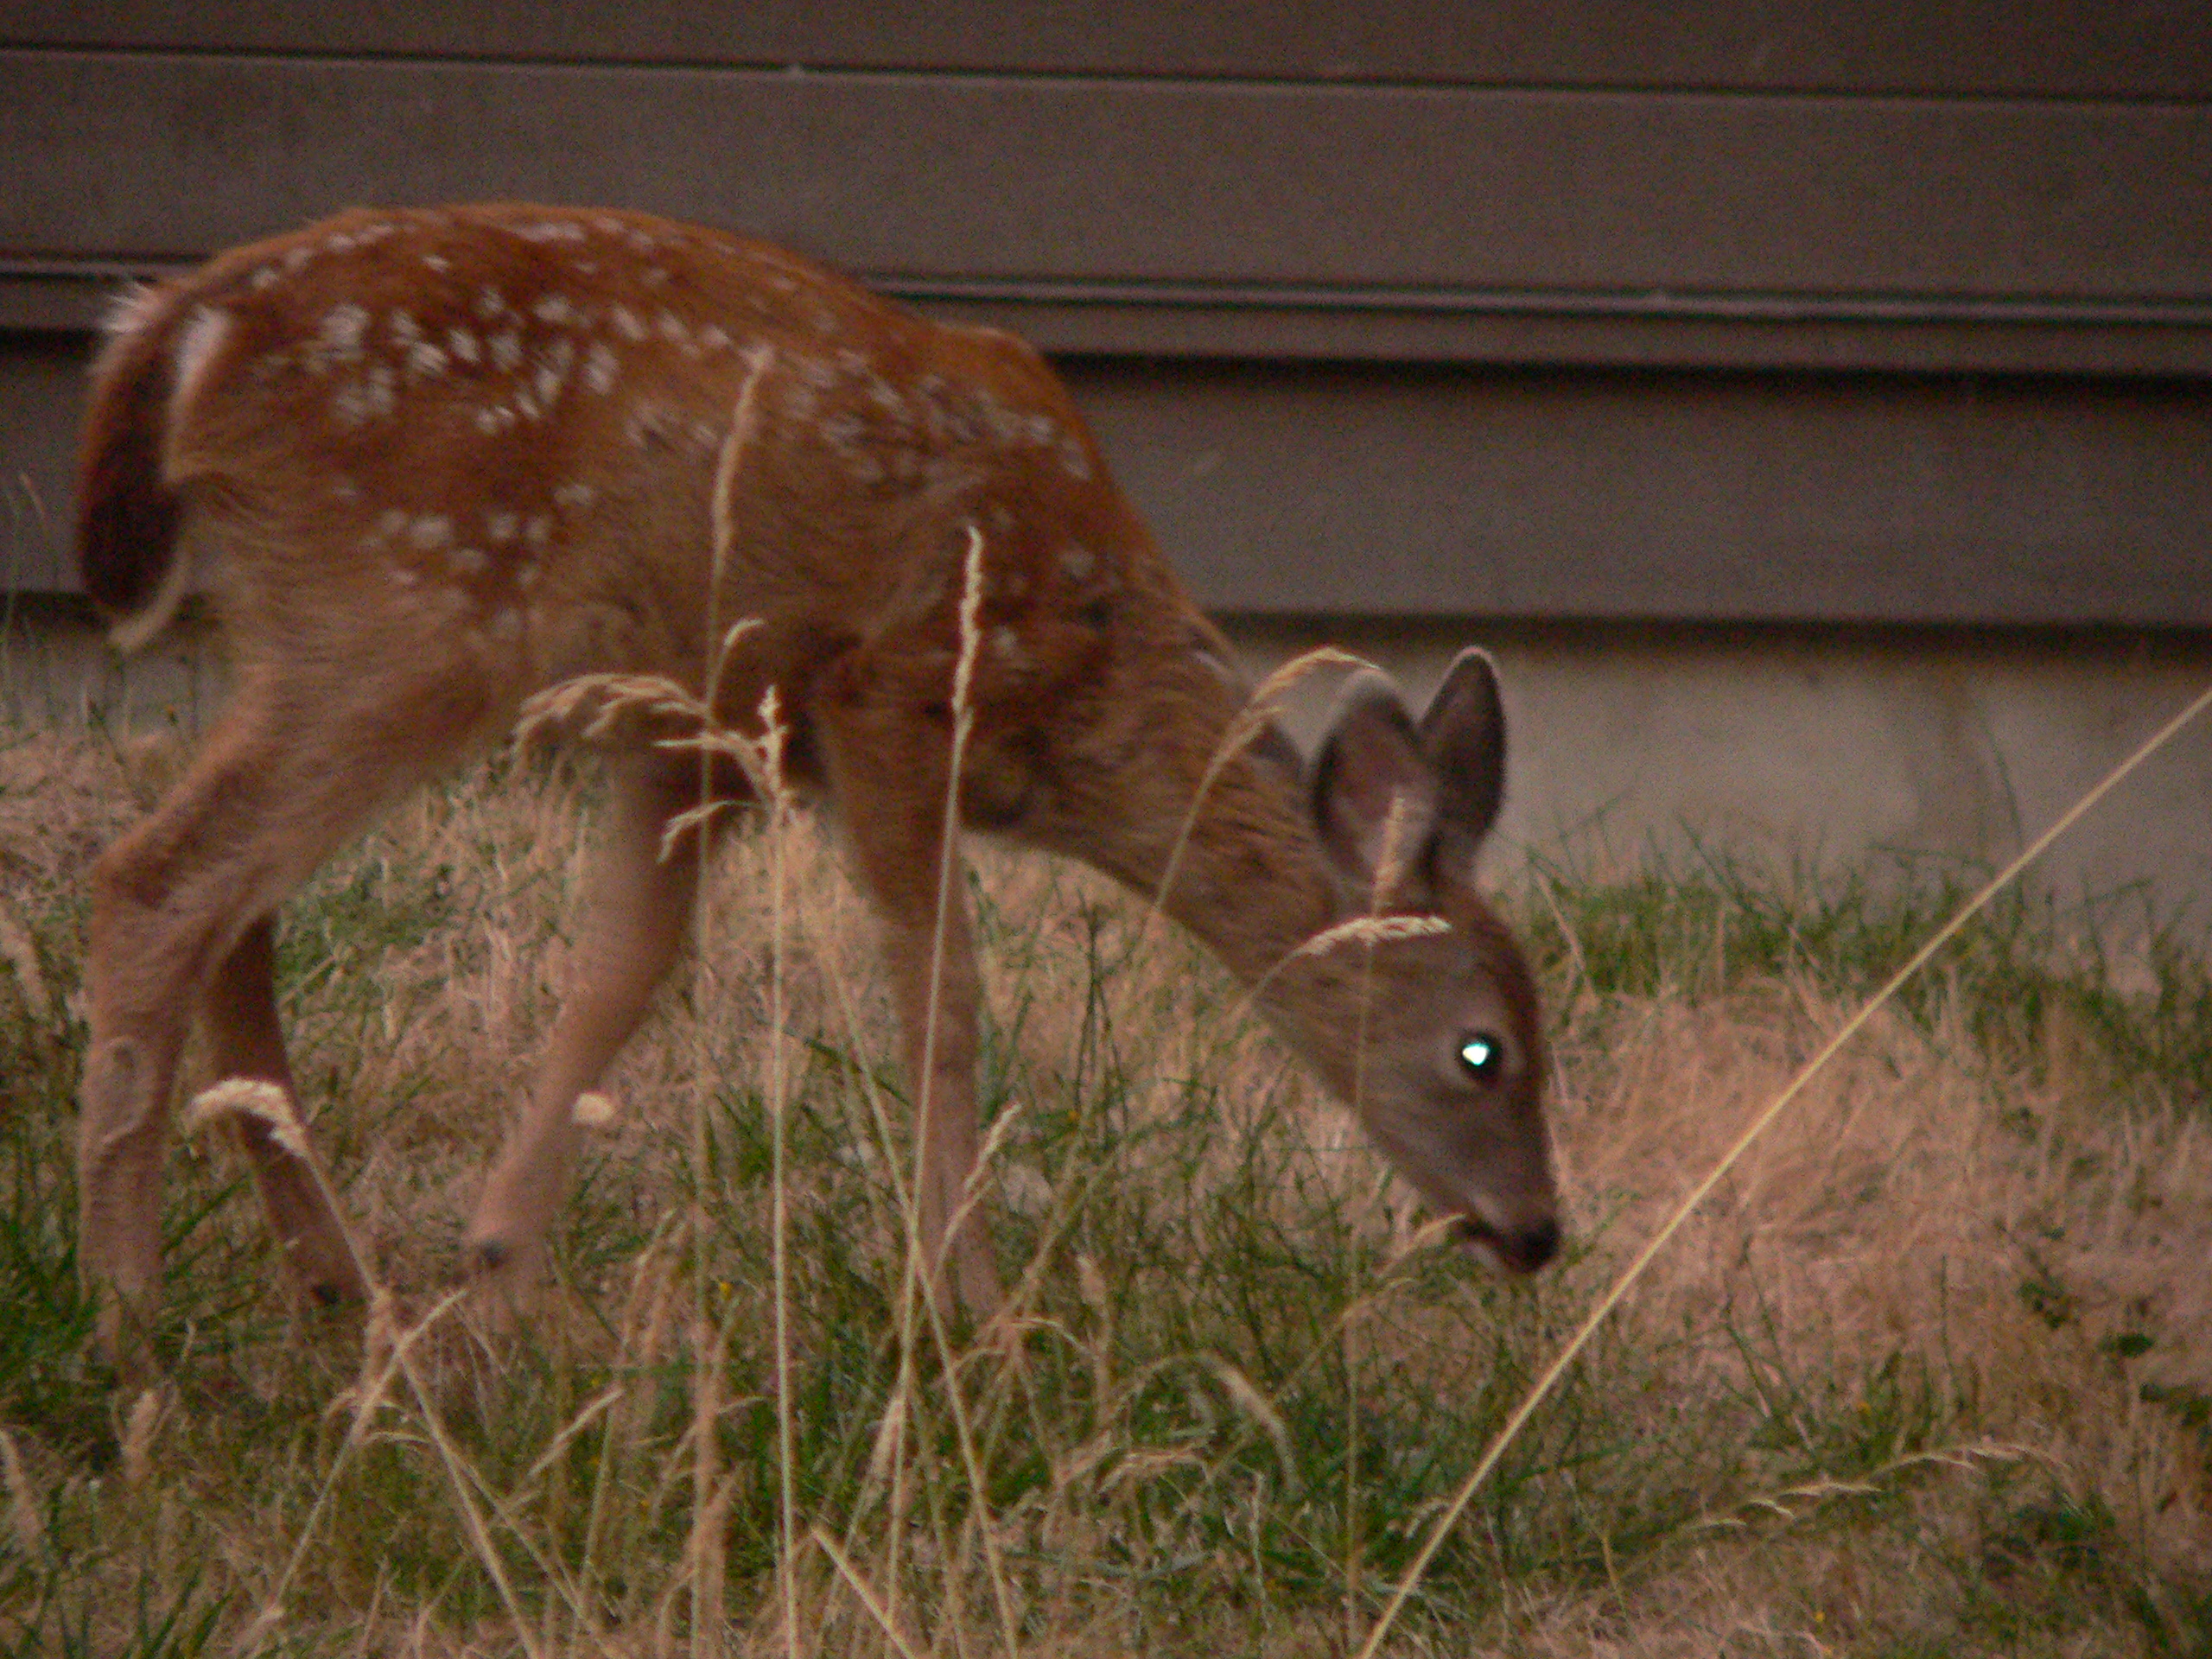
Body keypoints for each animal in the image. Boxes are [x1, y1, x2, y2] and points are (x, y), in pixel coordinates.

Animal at [72, 202, 1560, 1368]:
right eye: (1483, 1048)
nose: (1543, 1232)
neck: (1084, 678)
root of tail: (180, 329)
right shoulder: (887, 690)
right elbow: (942, 1002)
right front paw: (975, 1316)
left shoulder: (706, 729)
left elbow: (627, 971)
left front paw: (500, 1283)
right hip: (415, 608)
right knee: (157, 883)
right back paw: (130, 1329)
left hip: (311, 629)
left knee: (237, 914)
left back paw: (335, 1289)